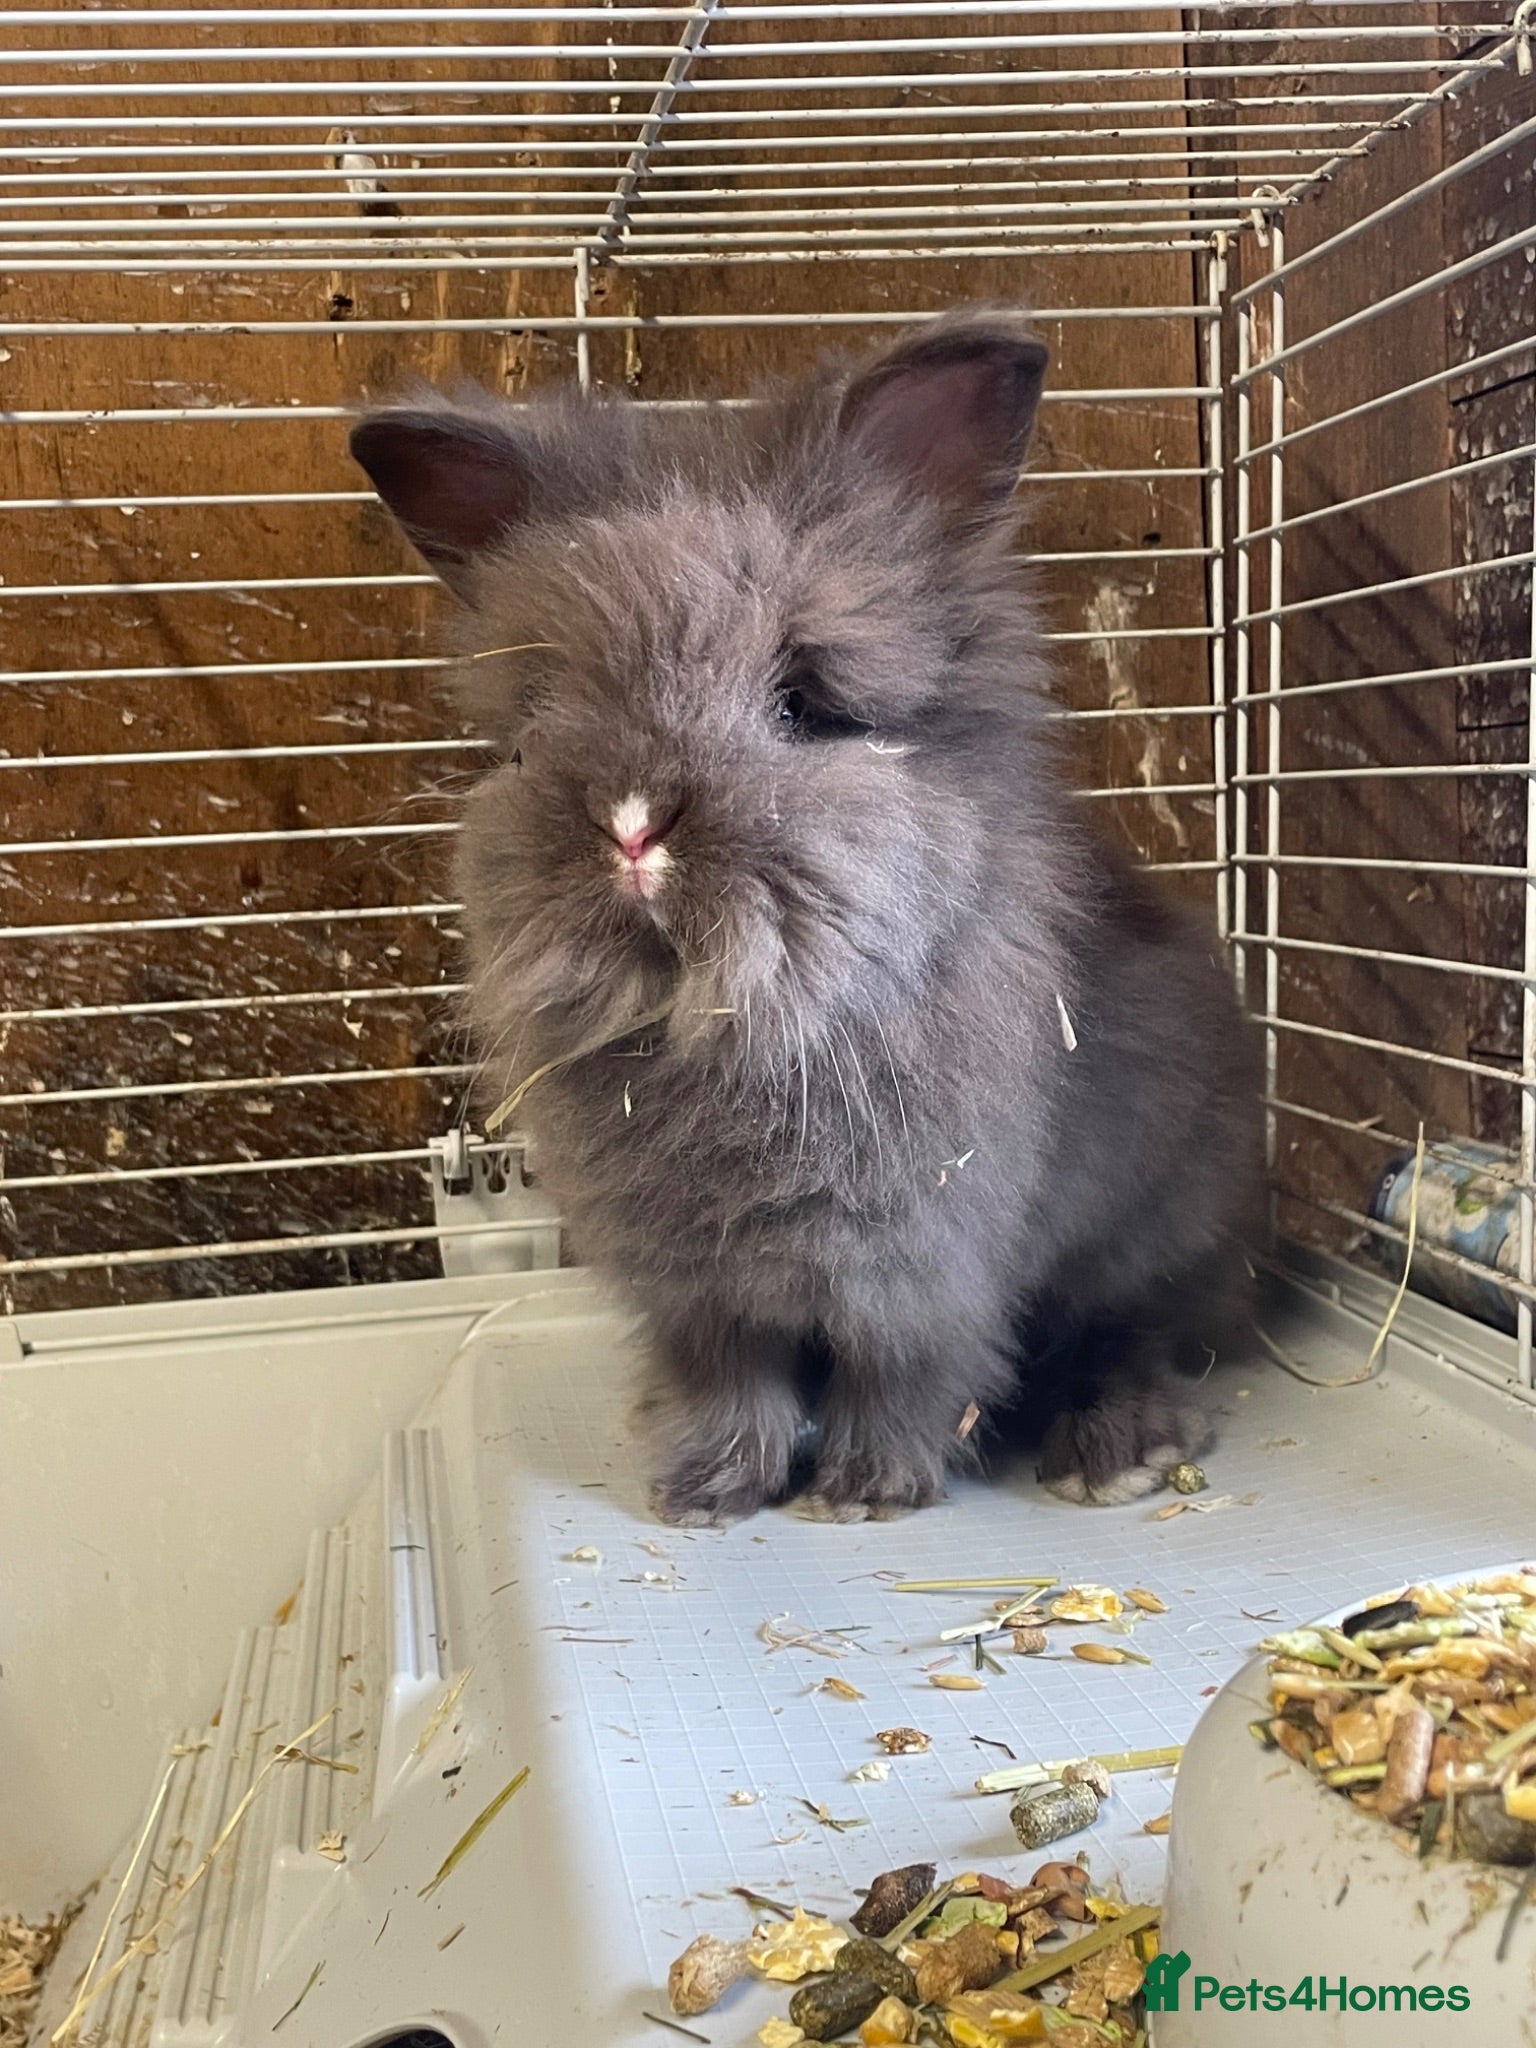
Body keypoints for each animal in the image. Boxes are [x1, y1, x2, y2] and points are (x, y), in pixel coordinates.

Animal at [351, 307, 1262, 1525]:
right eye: (539, 721)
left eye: (805, 704)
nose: (632, 827)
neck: (723, 1019)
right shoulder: (698, 1295)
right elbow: (732, 1383)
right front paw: (705, 1492)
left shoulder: (921, 1272)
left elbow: (906, 1377)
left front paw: (861, 1494)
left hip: (1161, 1230)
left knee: (1138, 1333)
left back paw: (1111, 1450)